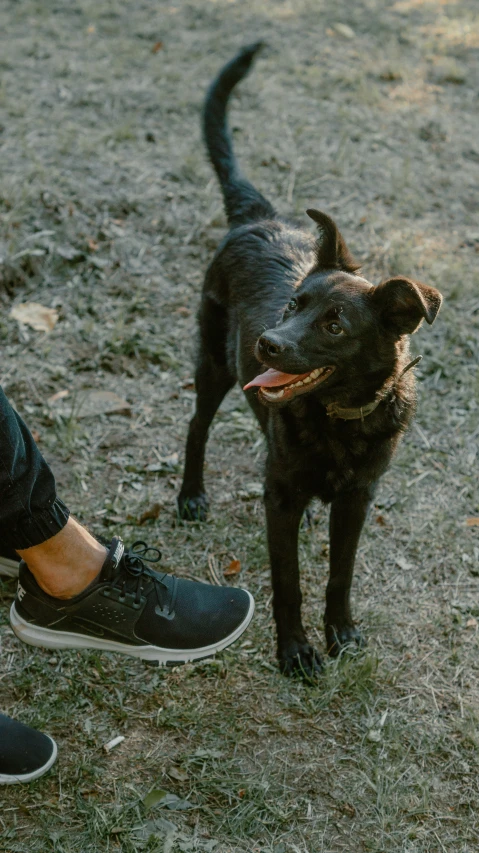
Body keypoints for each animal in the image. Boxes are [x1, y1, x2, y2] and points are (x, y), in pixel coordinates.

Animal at [177, 45, 442, 680]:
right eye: (294, 303)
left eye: (335, 325)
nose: (267, 344)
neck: (340, 418)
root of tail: (257, 215)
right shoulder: (280, 496)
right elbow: (289, 581)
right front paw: (296, 651)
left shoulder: (358, 498)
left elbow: (339, 574)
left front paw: (340, 632)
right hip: (213, 364)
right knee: (196, 424)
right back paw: (191, 495)